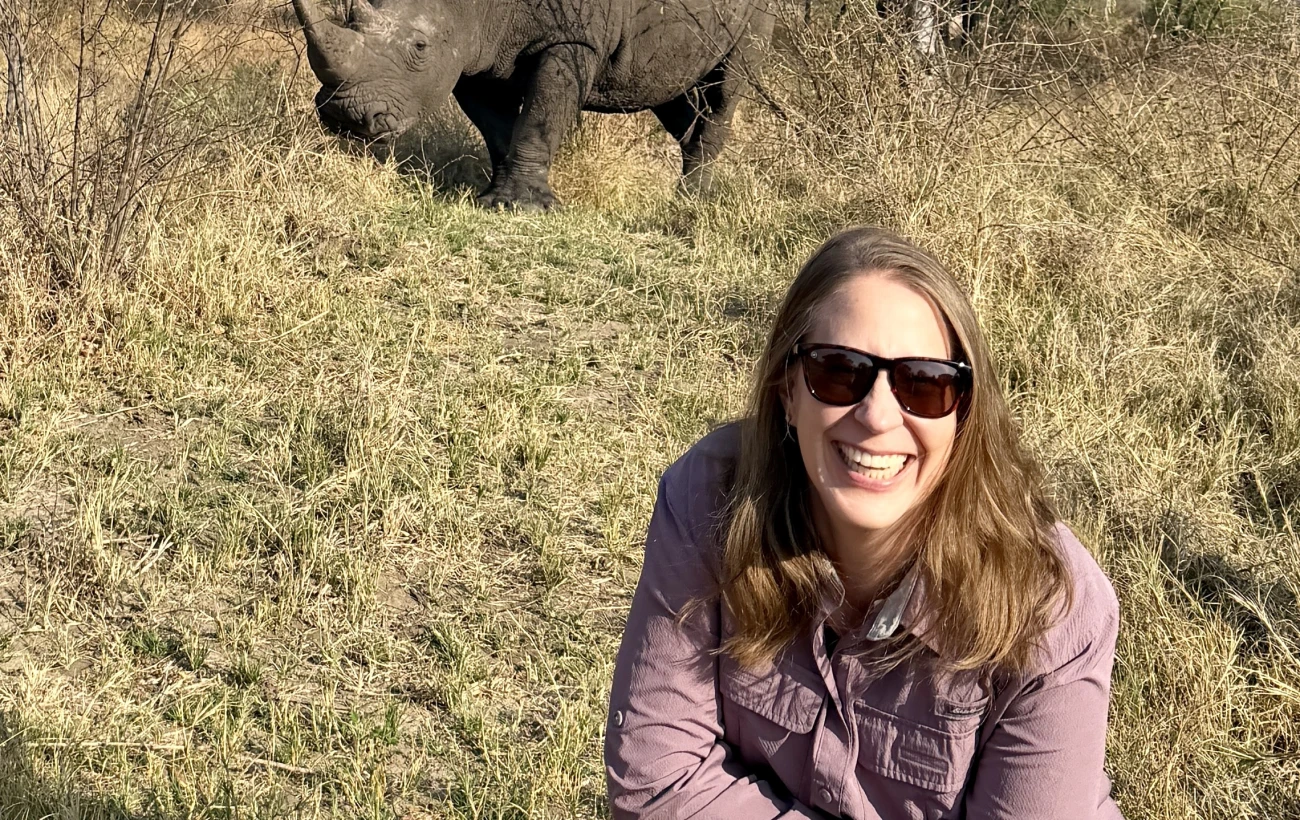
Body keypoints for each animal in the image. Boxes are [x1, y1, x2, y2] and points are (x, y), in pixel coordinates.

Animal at [291, 0, 774, 210]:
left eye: (420, 47)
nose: (344, 117)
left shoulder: (571, 36)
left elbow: (540, 115)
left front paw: (524, 208)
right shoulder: (479, 52)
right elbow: (498, 126)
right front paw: (495, 196)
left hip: (761, 14)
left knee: (724, 91)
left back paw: (691, 203)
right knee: (677, 99)